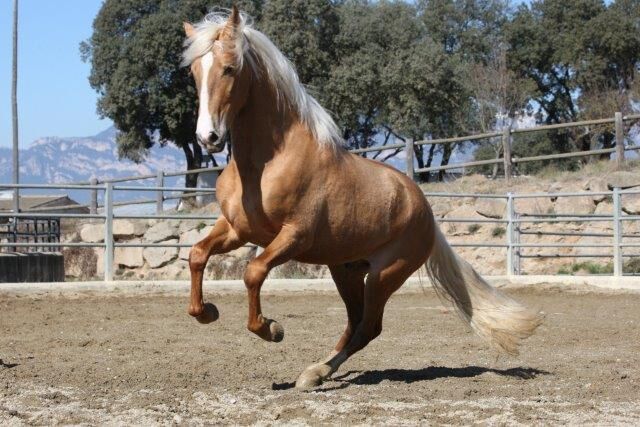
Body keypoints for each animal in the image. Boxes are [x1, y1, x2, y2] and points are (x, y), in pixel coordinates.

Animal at [182, 6, 544, 390]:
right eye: (194, 72)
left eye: (229, 68)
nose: (208, 138)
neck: (266, 164)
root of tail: (426, 212)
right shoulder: (237, 229)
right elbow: (197, 254)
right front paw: (206, 312)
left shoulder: (295, 236)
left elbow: (253, 272)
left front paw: (271, 329)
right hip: (347, 271)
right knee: (355, 323)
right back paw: (316, 372)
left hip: (384, 276)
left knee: (368, 328)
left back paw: (314, 372)